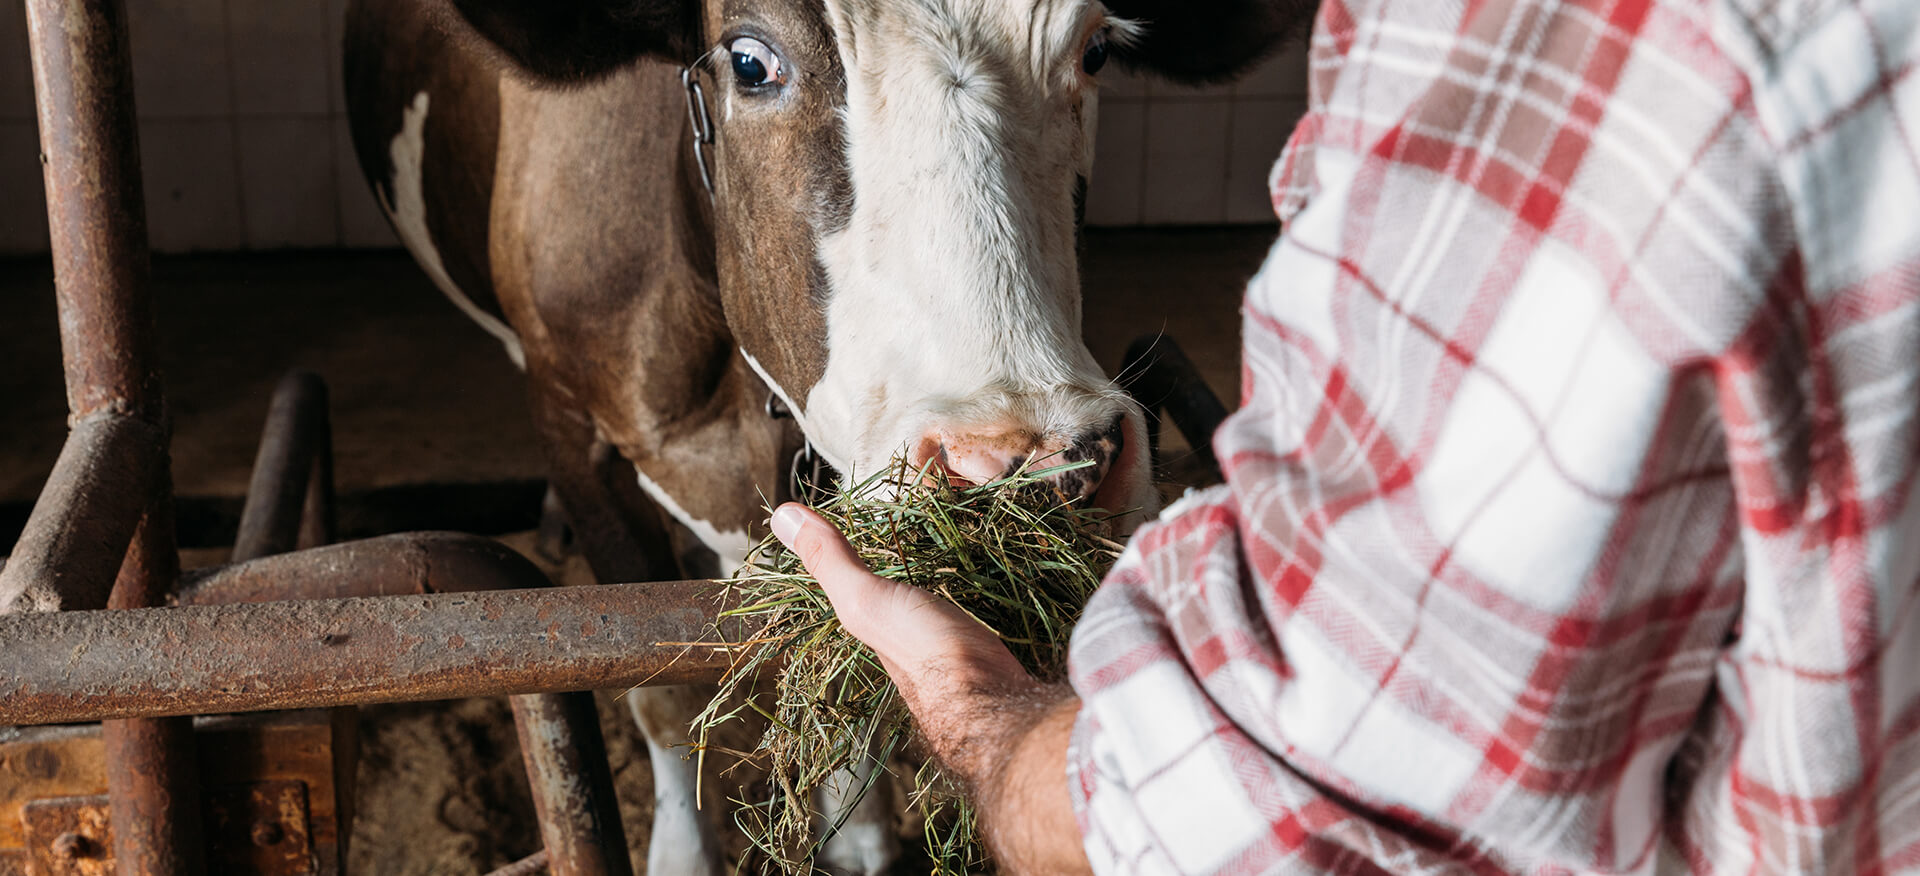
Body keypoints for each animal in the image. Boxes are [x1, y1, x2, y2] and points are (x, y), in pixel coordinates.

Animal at [345, 0, 1305, 868]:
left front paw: (861, 828)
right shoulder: (570, 422)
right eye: (749, 62)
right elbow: (651, 688)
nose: (1035, 465)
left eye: (1096, 49)